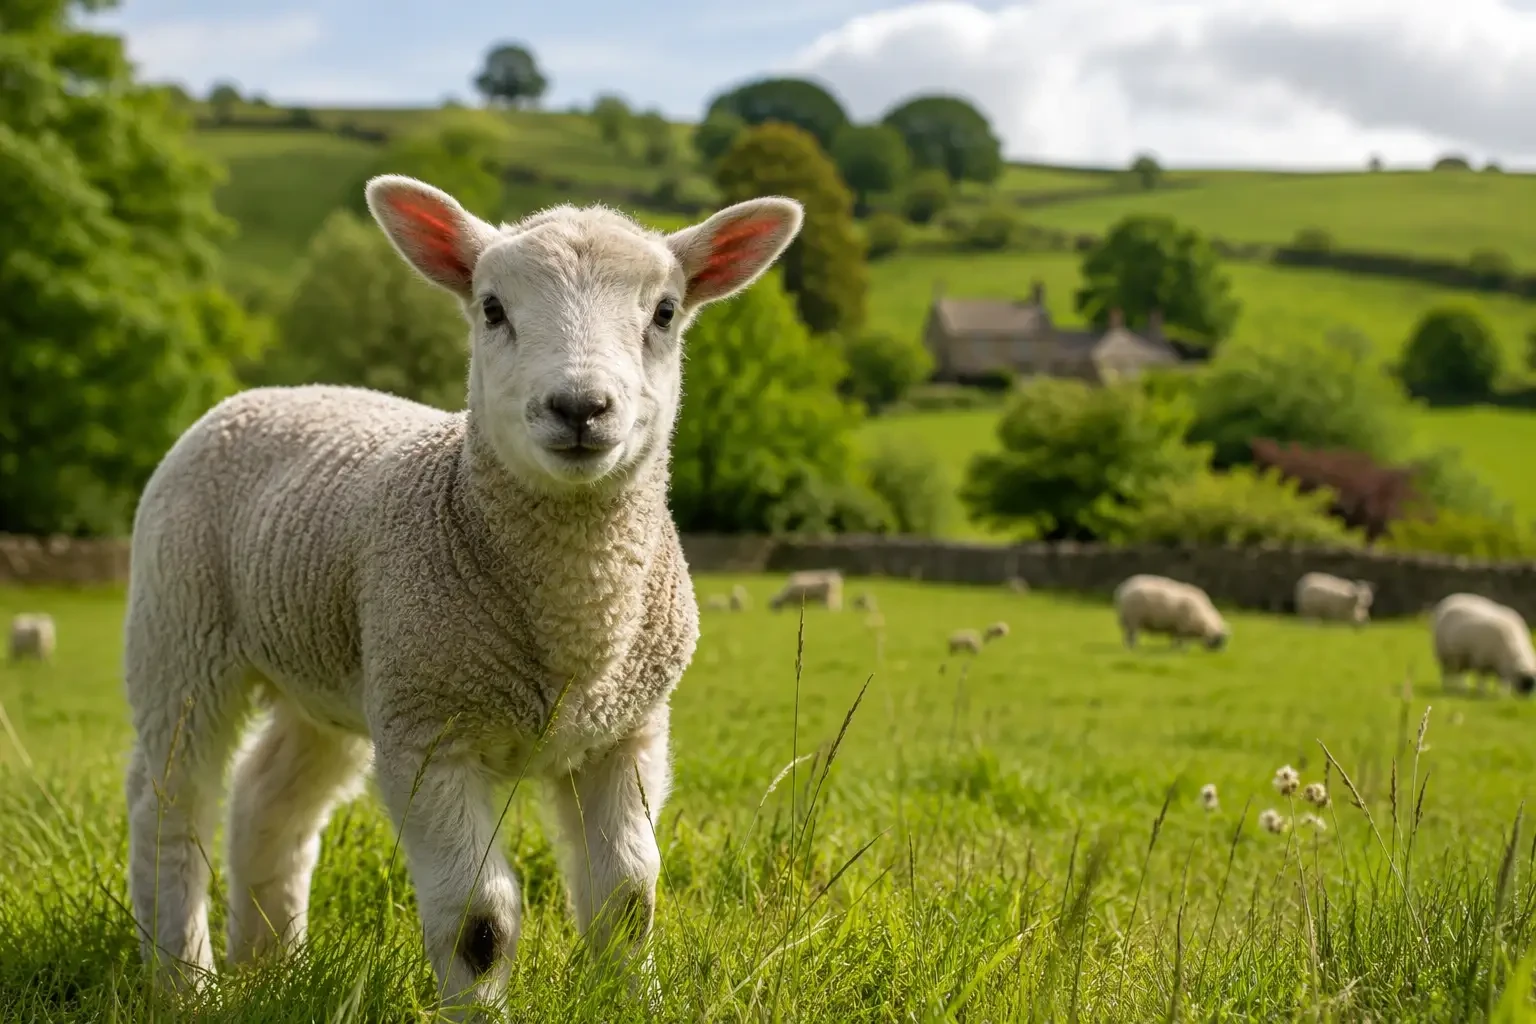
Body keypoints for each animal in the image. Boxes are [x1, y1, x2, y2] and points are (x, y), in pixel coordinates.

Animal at [120, 173, 803, 1014]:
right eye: (492, 308)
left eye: (666, 312)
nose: (580, 408)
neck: (576, 620)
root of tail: (274, 392)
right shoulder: (430, 736)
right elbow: (481, 921)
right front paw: (481, 1009)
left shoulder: (626, 729)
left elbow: (628, 896)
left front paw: (631, 1002)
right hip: (180, 631)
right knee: (169, 804)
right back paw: (185, 984)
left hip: (337, 671)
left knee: (268, 799)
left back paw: (272, 967)